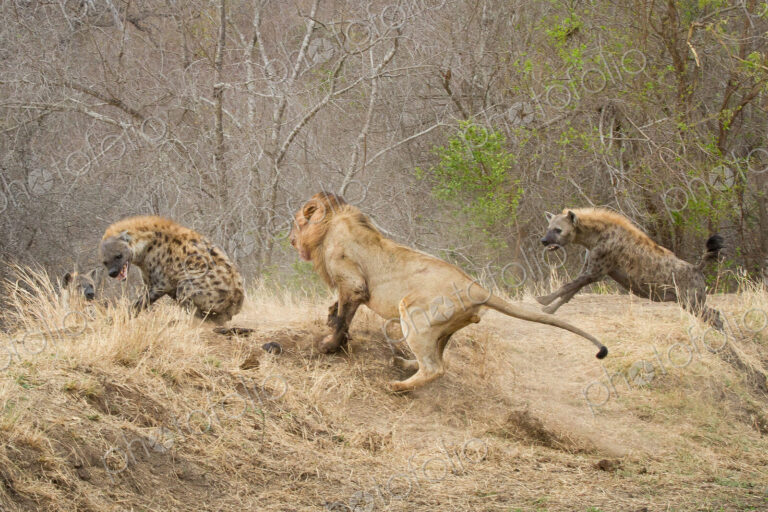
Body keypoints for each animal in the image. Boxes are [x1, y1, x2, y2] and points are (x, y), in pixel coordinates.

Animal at [289, 192, 607, 392]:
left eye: (296, 221)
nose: (290, 239)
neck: (329, 226)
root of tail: (477, 287)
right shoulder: (348, 289)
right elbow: (337, 311)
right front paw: (330, 323)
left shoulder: (352, 285)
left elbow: (344, 318)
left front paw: (329, 346)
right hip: (443, 327)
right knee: (437, 360)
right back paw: (404, 363)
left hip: (414, 313)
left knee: (435, 368)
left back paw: (398, 386)